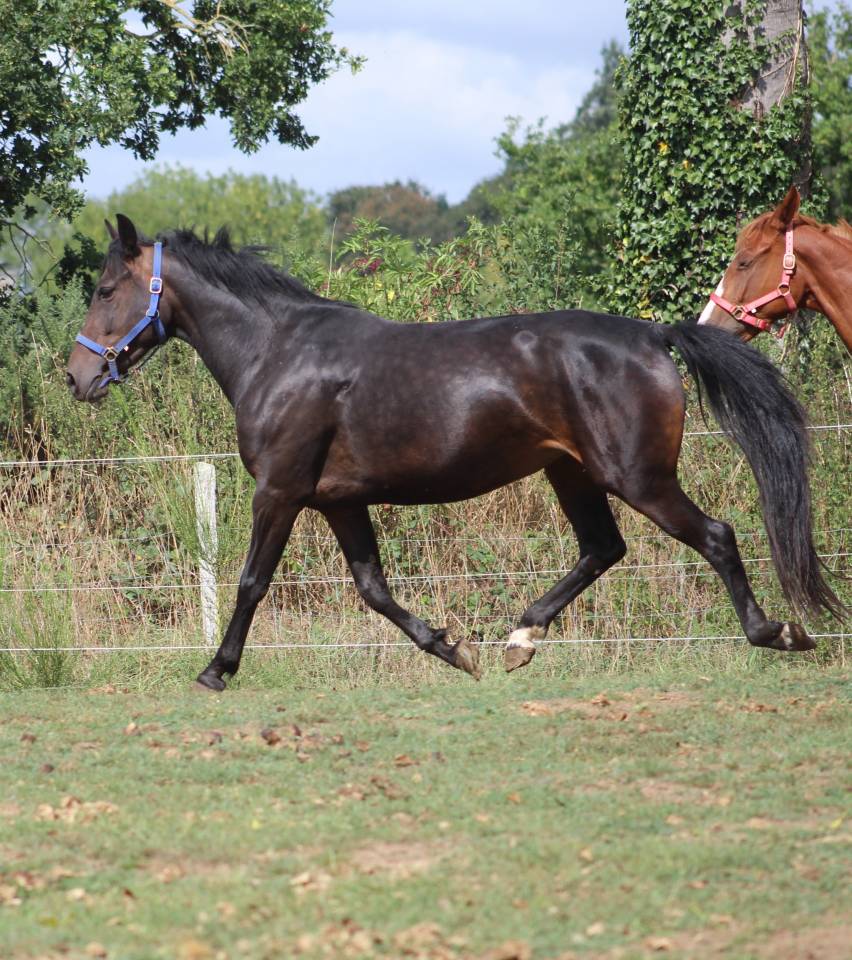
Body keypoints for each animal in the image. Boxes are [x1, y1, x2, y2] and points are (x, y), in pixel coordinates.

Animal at [65, 215, 844, 691]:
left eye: (105, 289)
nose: (76, 377)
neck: (279, 353)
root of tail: (654, 335)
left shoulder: (280, 491)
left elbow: (253, 581)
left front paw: (216, 670)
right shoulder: (340, 501)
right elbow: (374, 590)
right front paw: (454, 649)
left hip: (639, 476)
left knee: (715, 536)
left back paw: (778, 632)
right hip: (573, 473)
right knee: (603, 549)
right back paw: (519, 638)